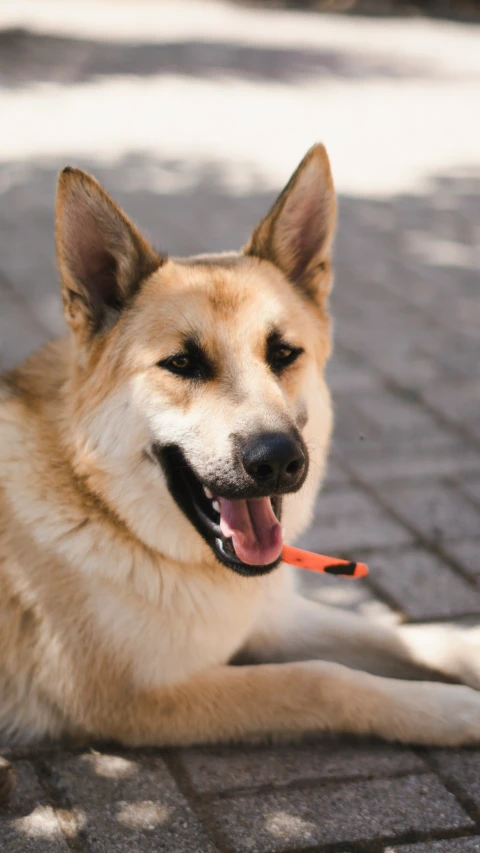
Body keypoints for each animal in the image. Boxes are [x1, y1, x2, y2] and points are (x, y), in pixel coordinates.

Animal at [0, 146, 480, 744]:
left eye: (284, 353)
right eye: (182, 363)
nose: (277, 461)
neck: (112, 516)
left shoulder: (272, 616)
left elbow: (404, 634)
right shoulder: (140, 699)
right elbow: (321, 679)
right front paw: (453, 708)